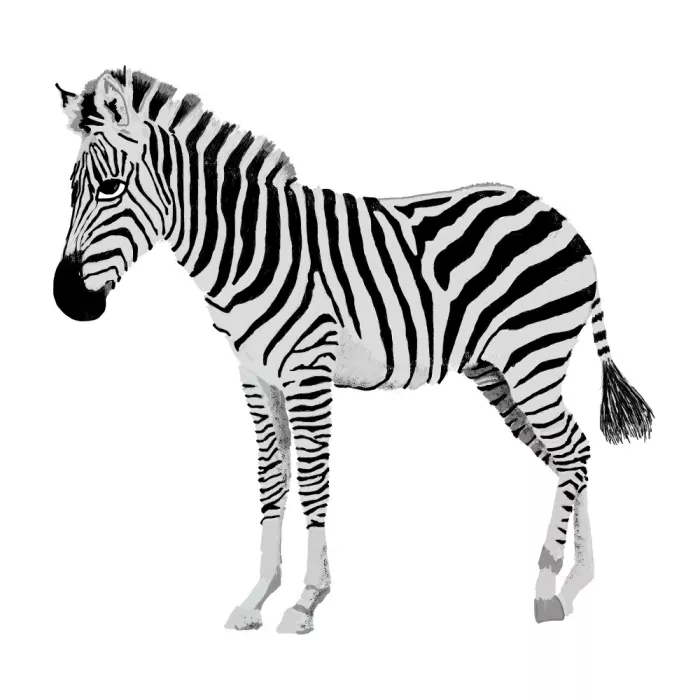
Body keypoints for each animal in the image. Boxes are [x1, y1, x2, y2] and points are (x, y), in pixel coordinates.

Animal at [54, 69, 653, 633]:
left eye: (110, 187)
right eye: (71, 188)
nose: (66, 300)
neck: (247, 249)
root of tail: (563, 219)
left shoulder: (308, 370)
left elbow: (313, 481)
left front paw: (306, 601)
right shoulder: (256, 377)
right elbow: (271, 481)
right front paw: (256, 599)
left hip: (533, 360)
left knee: (571, 453)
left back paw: (548, 589)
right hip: (498, 371)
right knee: (571, 456)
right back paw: (575, 584)